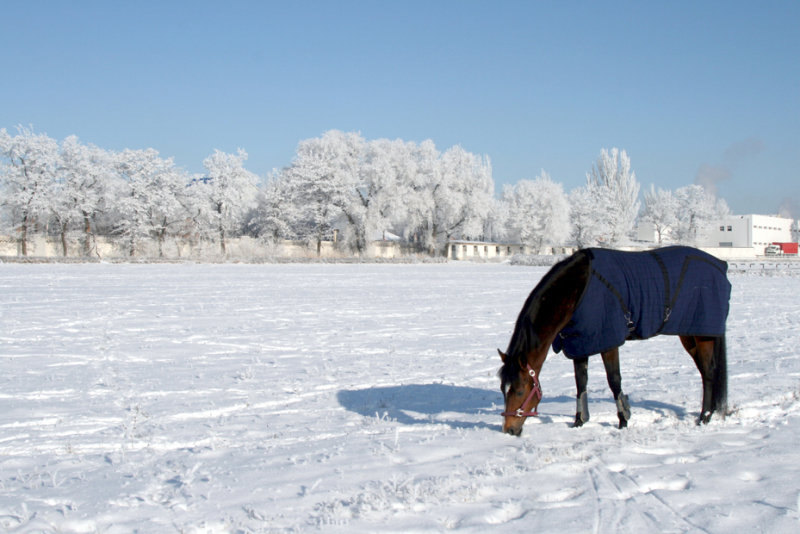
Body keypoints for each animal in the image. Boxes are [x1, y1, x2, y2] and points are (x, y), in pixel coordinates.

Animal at [500, 247, 732, 440]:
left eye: (519, 391)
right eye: (503, 389)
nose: (509, 429)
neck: (578, 289)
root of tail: (721, 265)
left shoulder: (608, 341)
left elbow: (614, 381)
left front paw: (623, 420)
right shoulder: (580, 344)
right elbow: (581, 383)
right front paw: (579, 421)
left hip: (702, 335)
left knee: (709, 372)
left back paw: (704, 417)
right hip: (690, 335)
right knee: (705, 371)